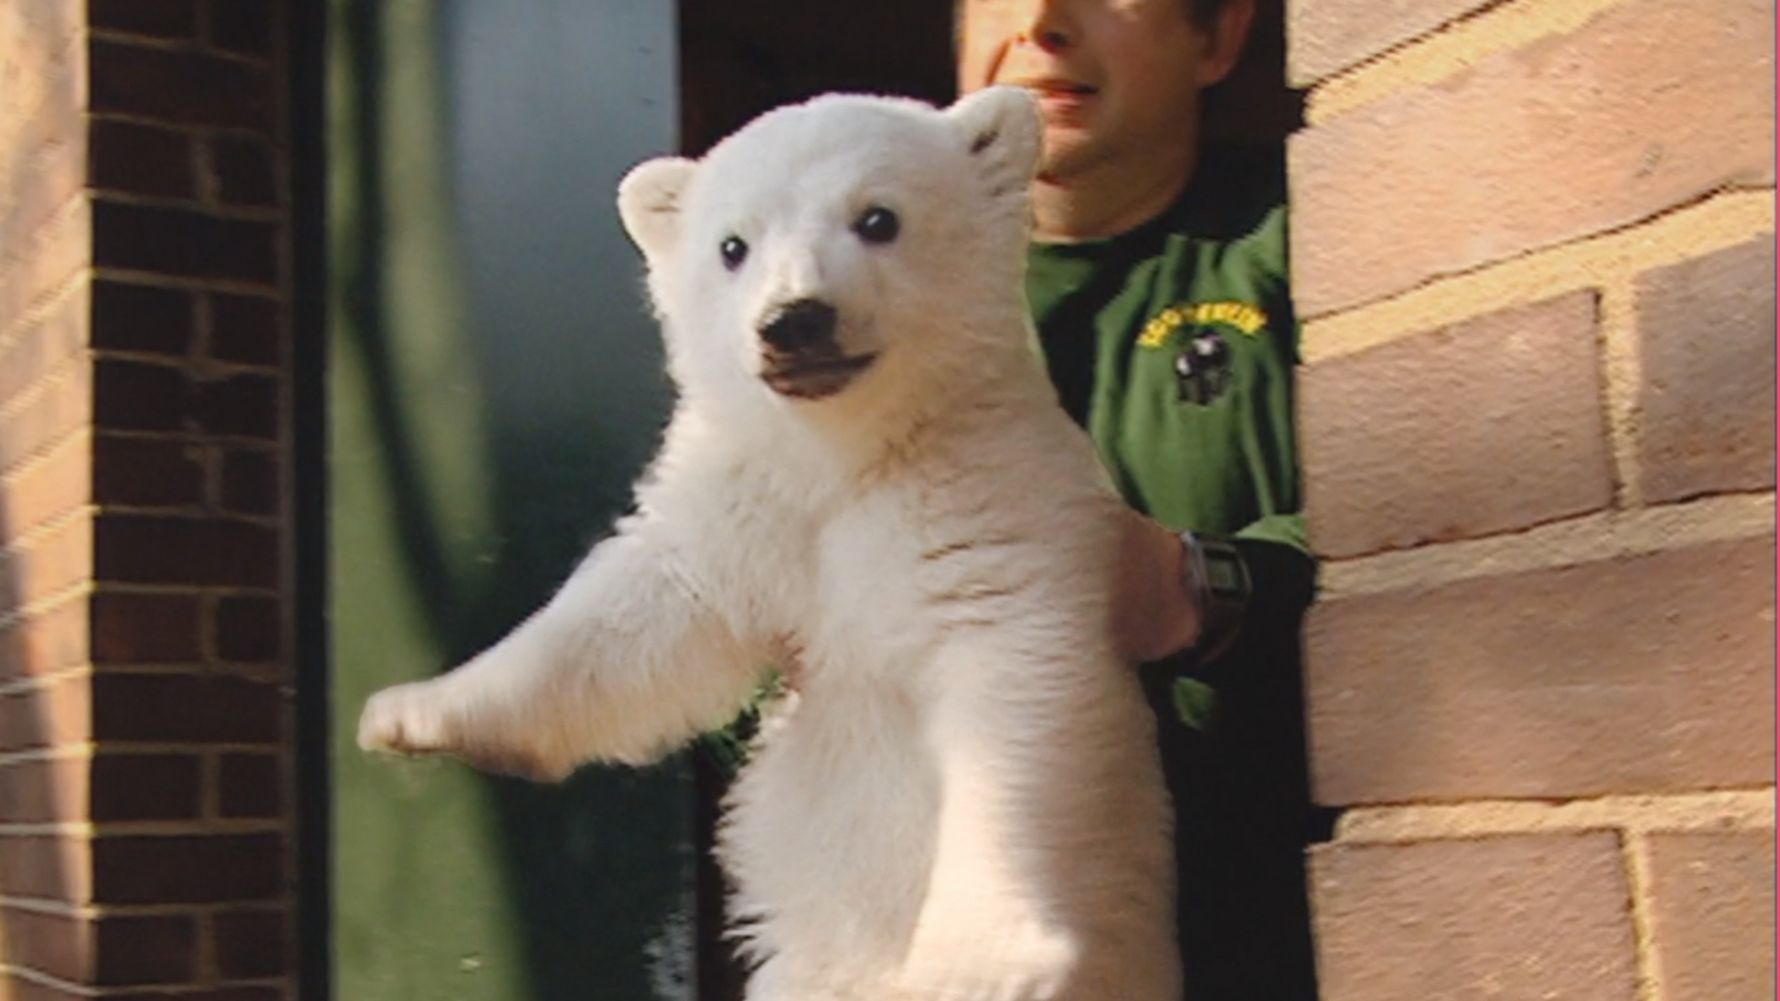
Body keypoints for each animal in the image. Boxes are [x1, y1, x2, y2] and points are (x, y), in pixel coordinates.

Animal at [356, 86, 1178, 1001]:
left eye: (878, 218)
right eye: (732, 245)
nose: (795, 320)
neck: (848, 454)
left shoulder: (991, 505)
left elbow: (1008, 703)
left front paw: (981, 959)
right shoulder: (745, 504)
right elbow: (632, 621)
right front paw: (411, 710)